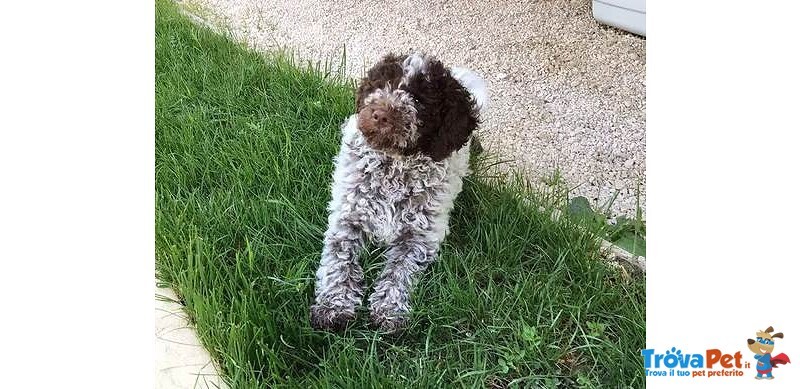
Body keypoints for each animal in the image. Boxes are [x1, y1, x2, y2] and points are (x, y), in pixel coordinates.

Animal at [310, 52, 488, 330]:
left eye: (420, 100)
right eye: (381, 84)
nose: (380, 114)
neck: (394, 167)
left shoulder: (419, 236)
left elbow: (399, 271)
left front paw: (389, 310)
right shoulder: (347, 219)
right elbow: (339, 262)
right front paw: (334, 305)